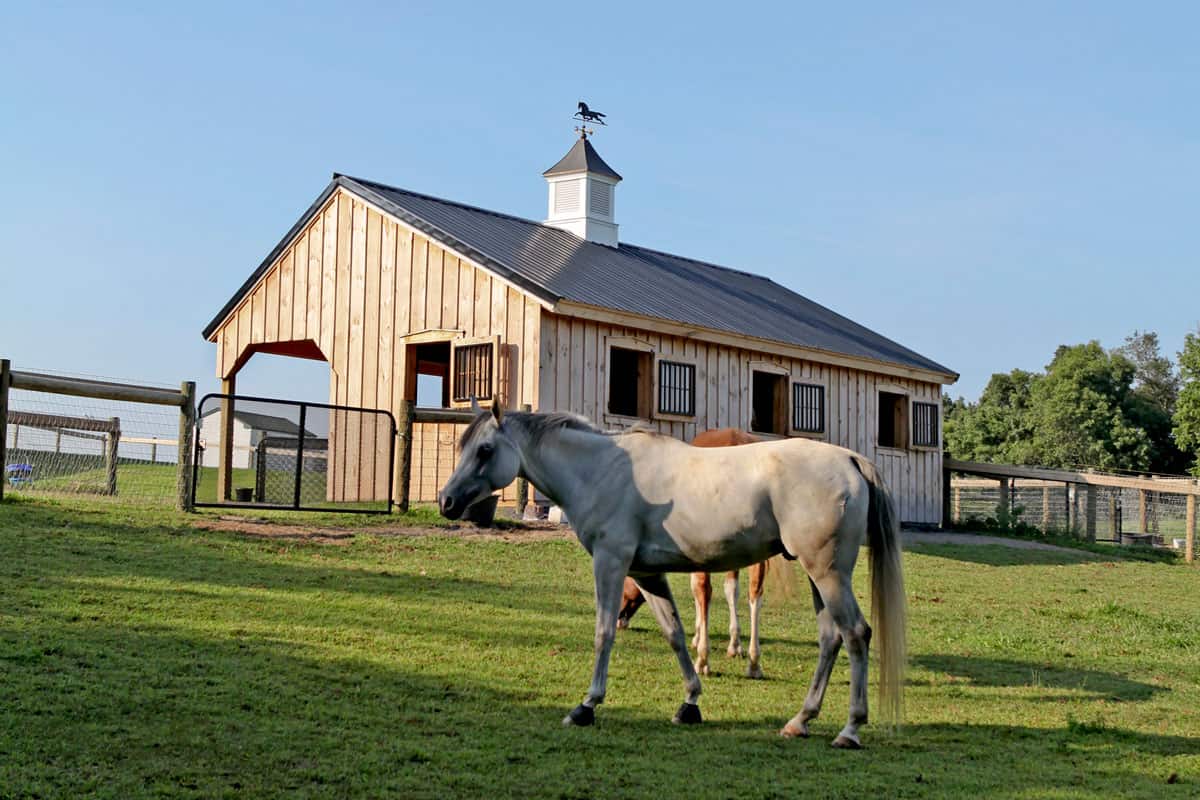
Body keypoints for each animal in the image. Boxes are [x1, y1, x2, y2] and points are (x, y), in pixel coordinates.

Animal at [619, 429, 768, 681]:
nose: (620, 620)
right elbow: (732, 590)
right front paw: (735, 645)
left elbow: (698, 592)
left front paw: (699, 639)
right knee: (754, 593)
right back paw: (754, 663)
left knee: (704, 591)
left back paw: (703, 660)